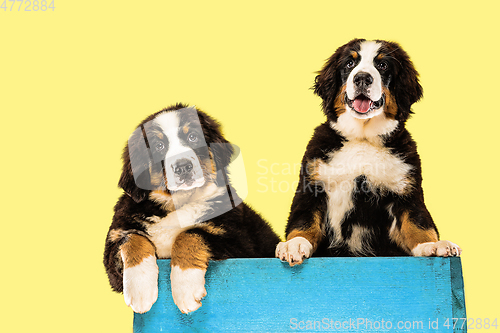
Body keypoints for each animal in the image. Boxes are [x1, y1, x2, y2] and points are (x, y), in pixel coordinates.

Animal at [103, 103, 280, 312]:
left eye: (193, 137)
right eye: (159, 146)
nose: (183, 167)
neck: (177, 204)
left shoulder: (240, 244)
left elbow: (189, 234)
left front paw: (185, 288)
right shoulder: (114, 247)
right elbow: (132, 239)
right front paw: (140, 290)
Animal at [276, 39, 462, 264]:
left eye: (382, 65)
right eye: (349, 63)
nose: (362, 78)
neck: (362, 139)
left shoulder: (406, 193)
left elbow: (418, 223)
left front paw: (433, 245)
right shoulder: (312, 186)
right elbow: (303, 221)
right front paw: (294, 244)